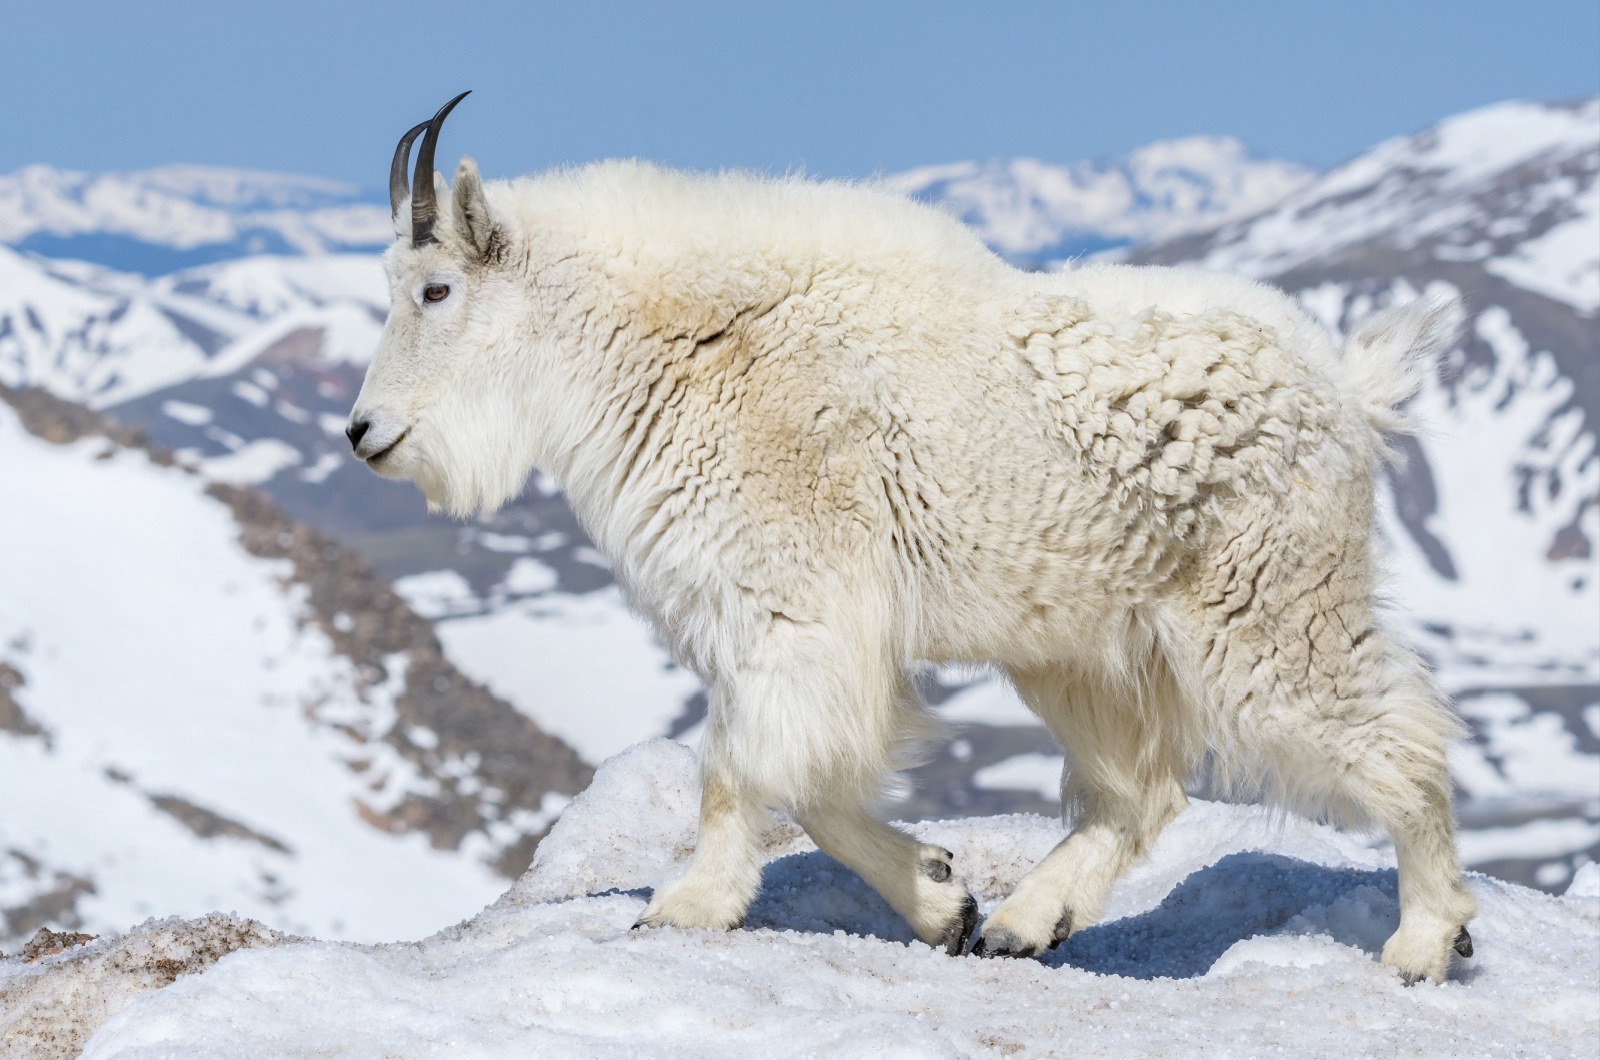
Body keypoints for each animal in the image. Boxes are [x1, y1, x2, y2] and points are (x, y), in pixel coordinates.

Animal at [347, 95, 1472, 986]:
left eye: (435, 289)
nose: (363, 434)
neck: (683, 341)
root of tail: (1349, 388)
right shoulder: (813, 626)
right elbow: (816, 787)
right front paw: (943, 897)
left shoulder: (791, 604)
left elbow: (744, 770)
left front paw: (687, 903)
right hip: (1075, 645)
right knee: (1141, 791)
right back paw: (1023, 923)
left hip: (1266, 609)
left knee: (1399, 738)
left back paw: (1427, 939)